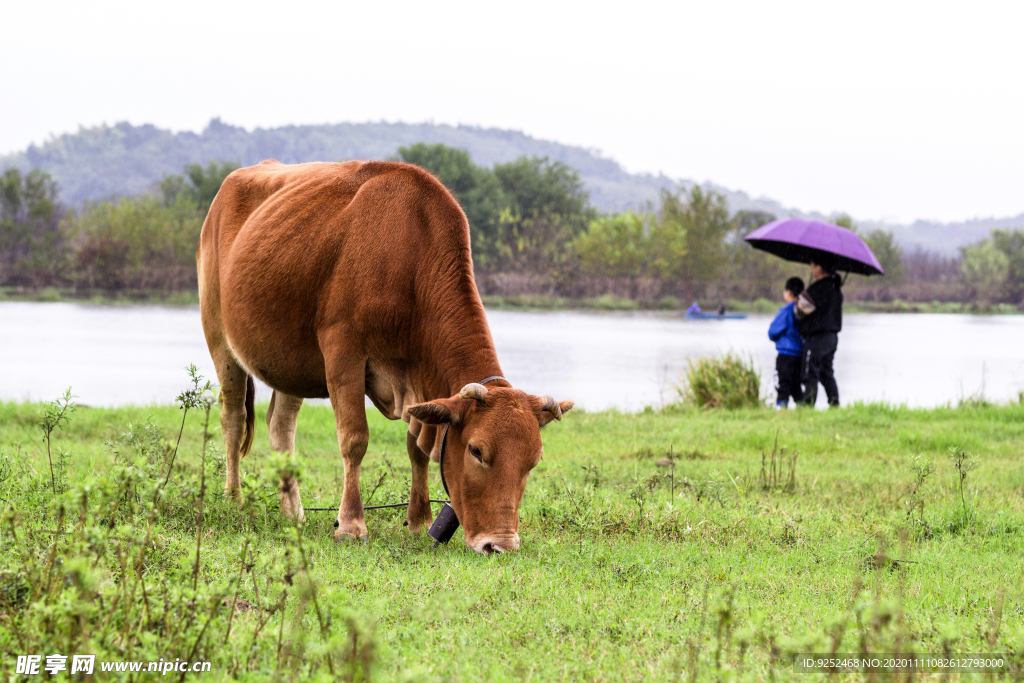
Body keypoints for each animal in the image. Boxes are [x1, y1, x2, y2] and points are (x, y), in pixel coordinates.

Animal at [195, 161, 573, 557]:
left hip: (289, 365)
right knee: (233, 418)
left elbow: (416, 447)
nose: (501, 545)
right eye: (476, 450)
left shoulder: (419, 383)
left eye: (533, 461)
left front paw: (419, 521)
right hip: (220, 340)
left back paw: (293, 512)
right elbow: (354, 439)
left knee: (280, 427)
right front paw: (351, 525)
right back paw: (235, 499)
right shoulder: (343, 352)